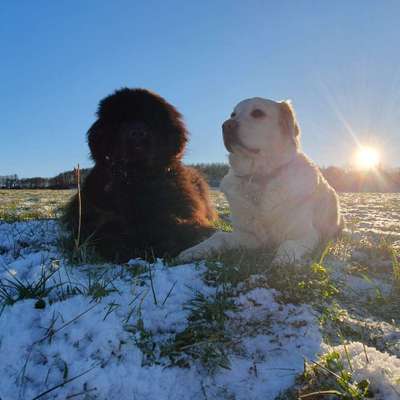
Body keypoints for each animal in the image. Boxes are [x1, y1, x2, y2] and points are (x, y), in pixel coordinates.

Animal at [62, 88, 217, 260]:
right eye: (121, 121)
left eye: (150, 120)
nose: (137, 132)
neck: (136, 176)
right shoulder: (94, 212)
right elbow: (107, 225)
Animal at [179, 97, 344, 266]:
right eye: (233, 114)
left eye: (258, 113)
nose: (226, 125)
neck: (259, 176)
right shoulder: (251, 236)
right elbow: (219, 236)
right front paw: (193, 251)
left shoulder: (305, 234)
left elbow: (288, 245)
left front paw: (280, 262)